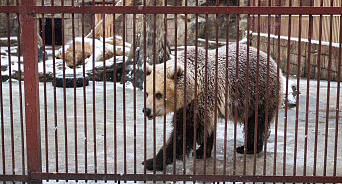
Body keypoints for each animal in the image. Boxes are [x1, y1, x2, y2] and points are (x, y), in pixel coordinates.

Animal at [141, 43, 284, 170]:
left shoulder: (203, 96)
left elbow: (186, 130)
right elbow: (206, 127)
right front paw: (201, 151)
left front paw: (152, 162)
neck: (193, 87)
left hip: (259, 93)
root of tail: (273, 62)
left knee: (256, 122)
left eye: (158, 94)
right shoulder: (192, 103)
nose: (146, 110)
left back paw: (248, 148)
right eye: (146, 93)